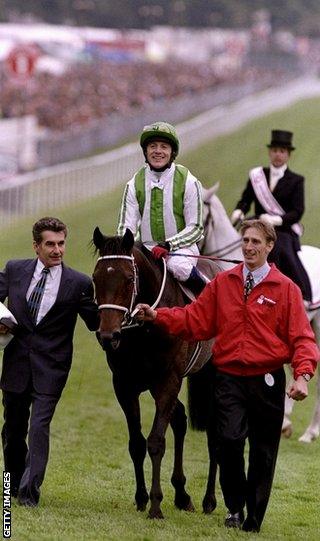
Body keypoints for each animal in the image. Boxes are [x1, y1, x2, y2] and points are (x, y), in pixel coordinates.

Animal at [91, 226, 219, 516]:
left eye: (129, 279)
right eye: (95, 278)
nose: (108, 336)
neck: (144, 329)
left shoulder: (167, 380)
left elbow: (156, 442)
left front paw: (156, 504)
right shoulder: (125, 385)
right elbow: (137, 443)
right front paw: (141, 498)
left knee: (216, 432)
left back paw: (208, 499)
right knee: (180, 418)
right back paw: (182, 494)